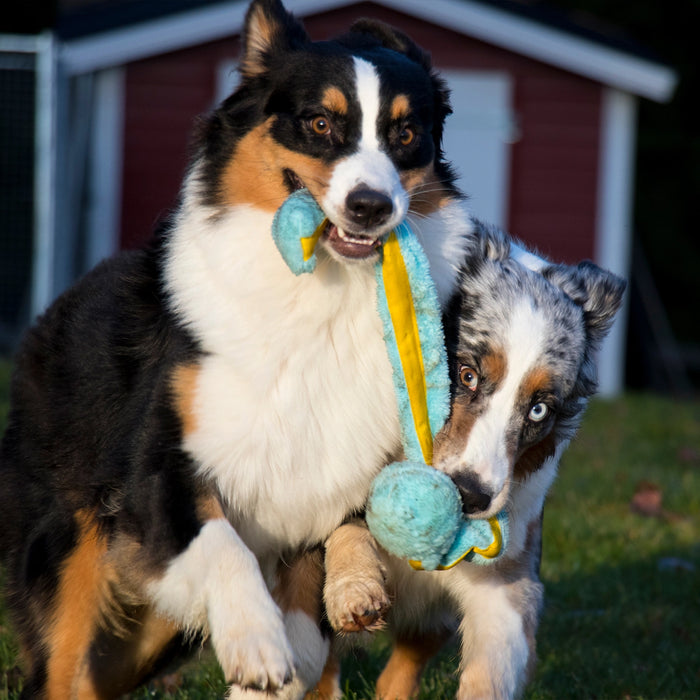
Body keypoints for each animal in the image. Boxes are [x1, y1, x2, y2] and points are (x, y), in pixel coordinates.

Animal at [0, 0, 478, 696]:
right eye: (319, 123)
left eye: (407, 134)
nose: (370, 207)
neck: (316, 295)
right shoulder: (160, 473)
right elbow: (222, 543)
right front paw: (255, 641)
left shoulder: (328, 490)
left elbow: (308, 611)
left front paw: (285, 657)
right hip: (71, 555)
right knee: (64, 673)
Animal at [322, 227, 624, 696]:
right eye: (466, 375)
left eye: (539, 409)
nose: (470, 497)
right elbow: (342, 526)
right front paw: (353, 589)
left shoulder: (507, 582)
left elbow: (490, 673)